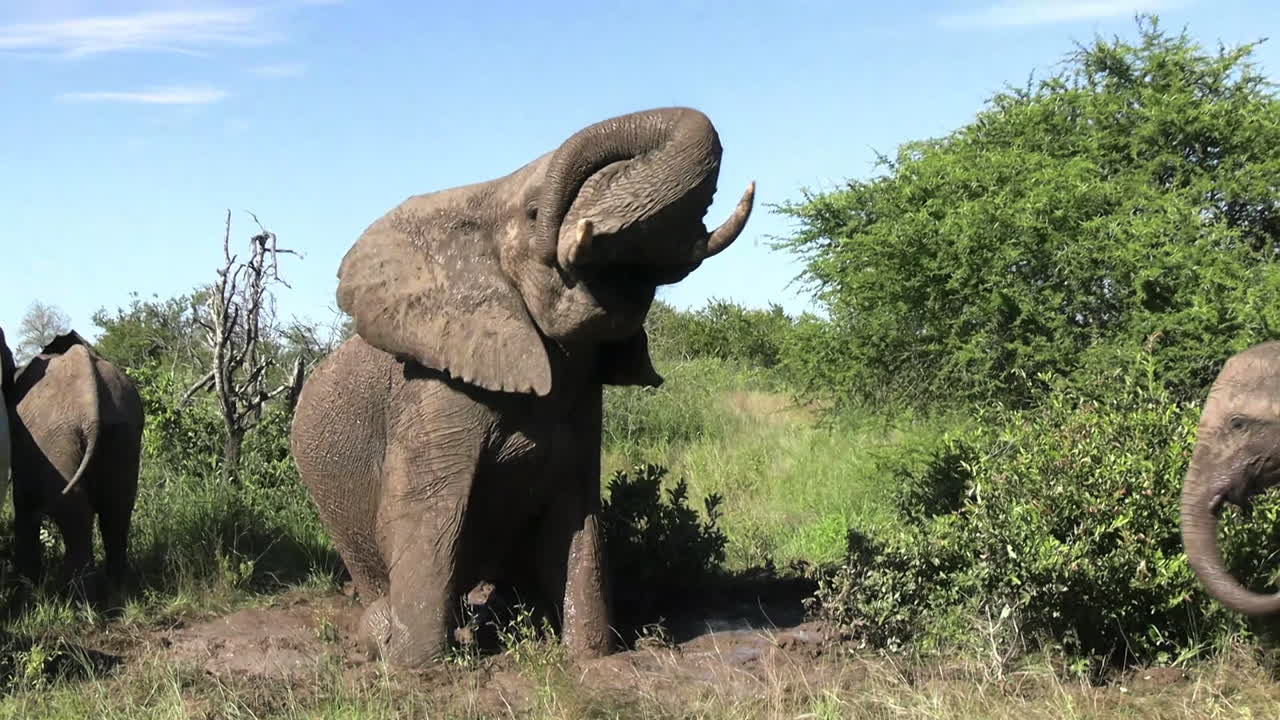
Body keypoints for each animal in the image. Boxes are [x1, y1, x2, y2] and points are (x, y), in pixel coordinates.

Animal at [6, 330, 145, 596]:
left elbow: (23, 504)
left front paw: (25, 585)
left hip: (55, 438)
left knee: (75, 509)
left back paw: (78, 595)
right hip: (123, 428)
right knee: (118, 505)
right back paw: (117, 587)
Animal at [289, 106, 754, 668]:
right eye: (534, 214)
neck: (484, 197)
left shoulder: (582, 396)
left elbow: (578, 516)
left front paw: (590, 656)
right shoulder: (433, 387)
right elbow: (424, 514)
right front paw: (418, 669)